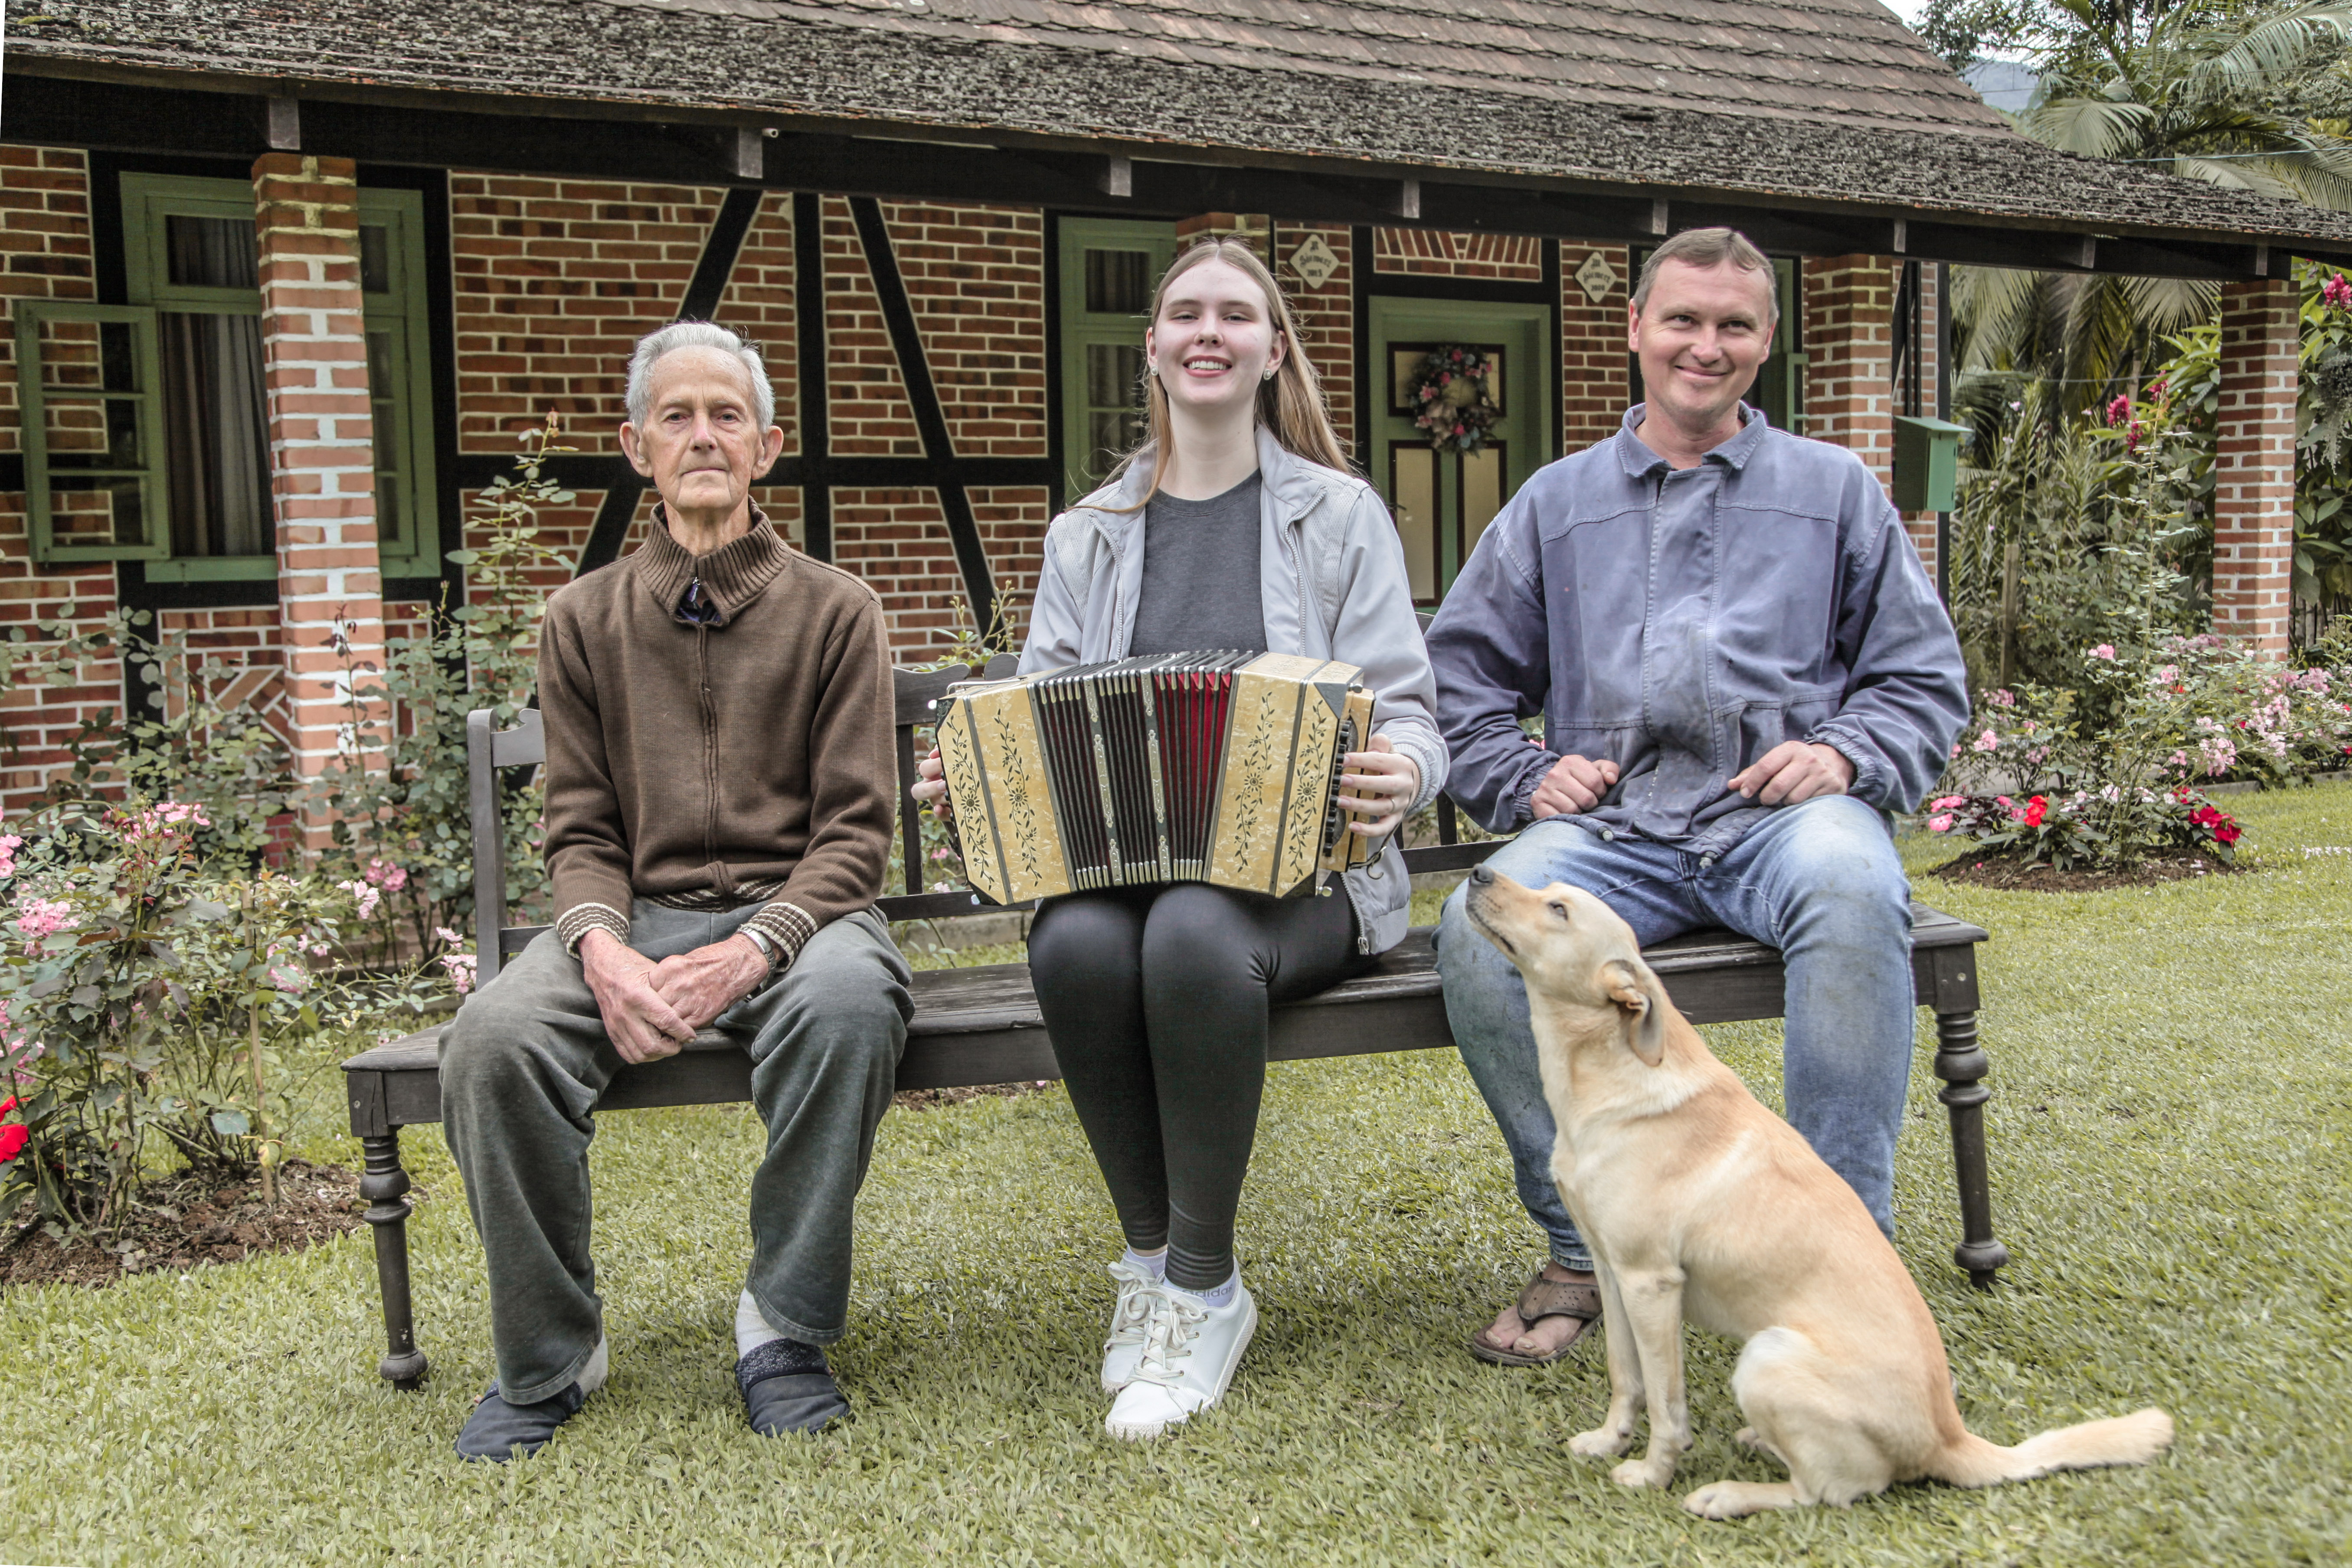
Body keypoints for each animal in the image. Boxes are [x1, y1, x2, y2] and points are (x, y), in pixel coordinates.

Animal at [1458, 870, 2173, 1523]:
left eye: (1558, 908)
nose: (1478, 872)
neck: (1611, 1071)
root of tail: (1951, 1440)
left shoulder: (1650, 1283)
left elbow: (1665, 1402)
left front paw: (1651, 1472)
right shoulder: (1611, 1274)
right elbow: (1623, 1376)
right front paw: (1610, 1441)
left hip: (1766, 1358)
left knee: (1828, 1490)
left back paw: (1726, 1493)